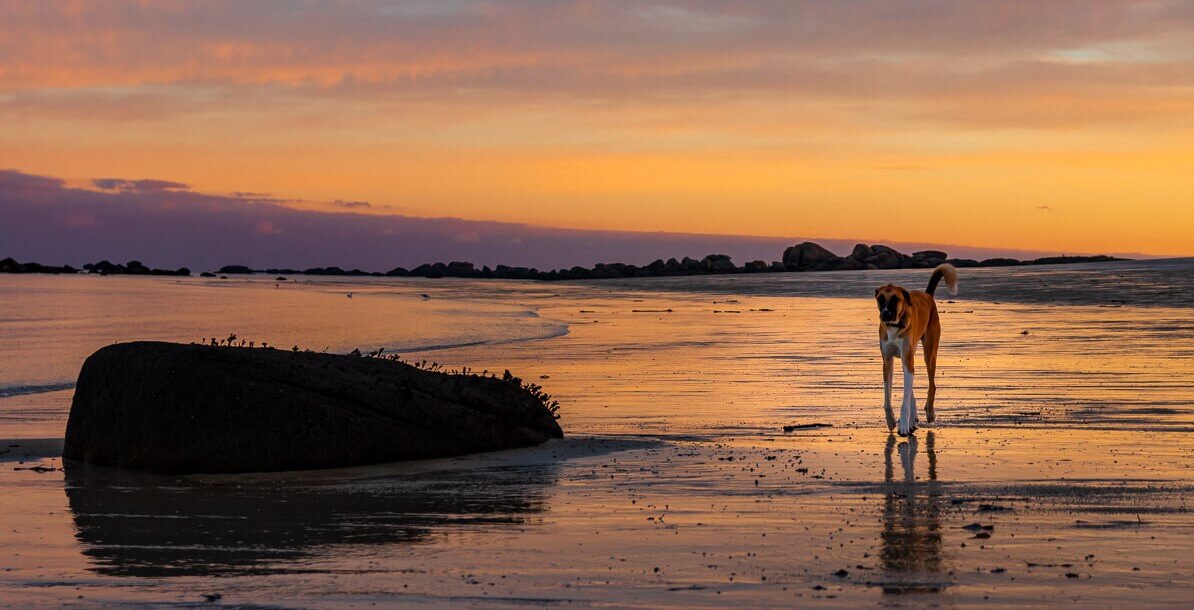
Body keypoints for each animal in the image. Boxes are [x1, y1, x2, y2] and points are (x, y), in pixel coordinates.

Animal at [878, 265, 959, 436]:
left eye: (895, 299)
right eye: (880, 299)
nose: (885, 314)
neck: (895, 325)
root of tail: (928, 295)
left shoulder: (908, 359)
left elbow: (906, 398)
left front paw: (904, 424)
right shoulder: (888, 361)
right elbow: (888, 398)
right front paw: (891, 420)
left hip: (930, 352)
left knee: (932, 385)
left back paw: (929, 412)